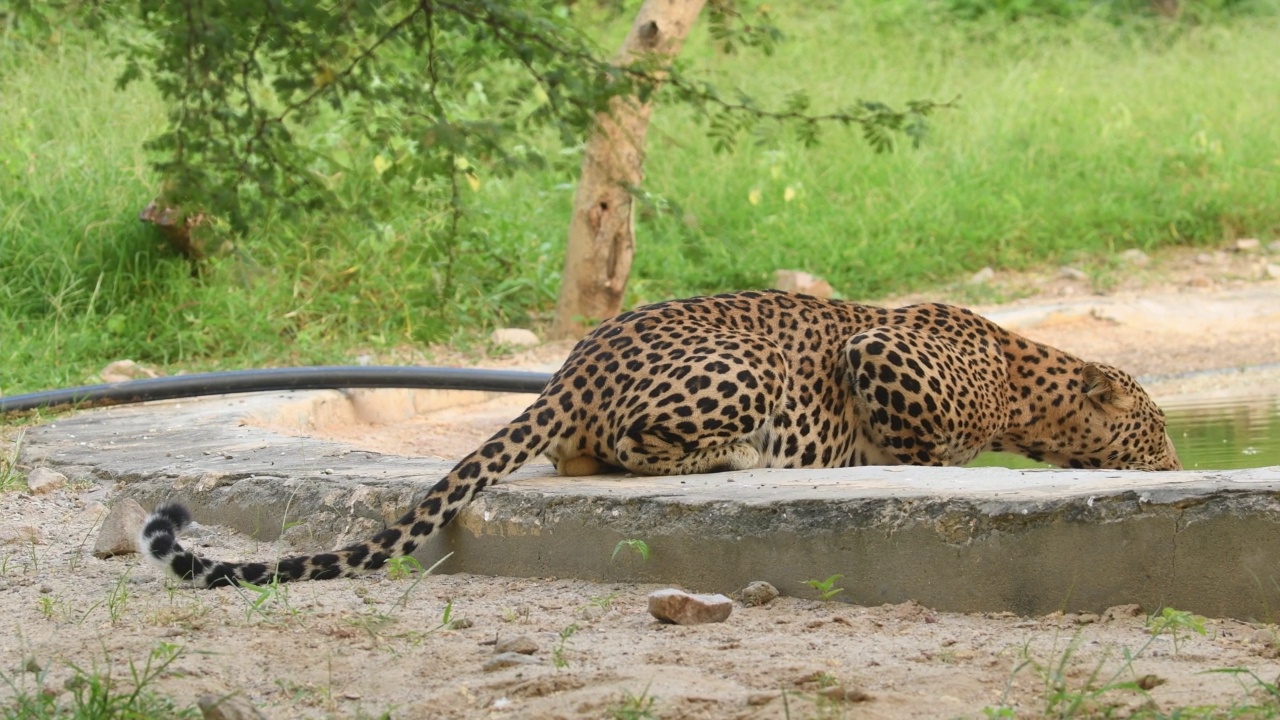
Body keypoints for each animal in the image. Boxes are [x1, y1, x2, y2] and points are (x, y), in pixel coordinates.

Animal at [142, 288, 1177, 586]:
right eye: (1158, 429)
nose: (1176, 461)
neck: (1025, 388)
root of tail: (572, 366)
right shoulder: (874, 352)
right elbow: (917, 449)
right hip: (741, 372)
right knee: (631, 447)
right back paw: (740, 455)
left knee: (580, 453)